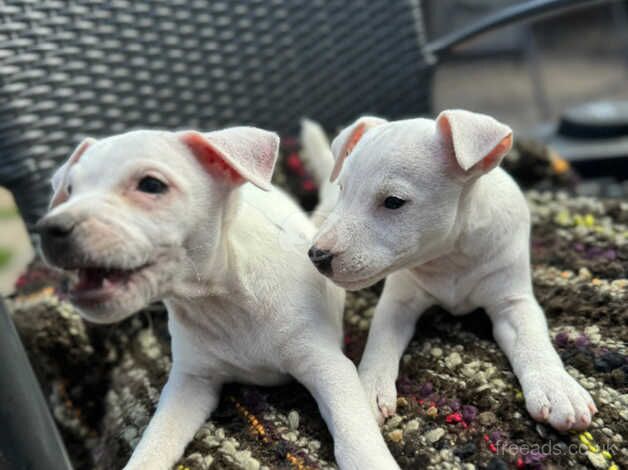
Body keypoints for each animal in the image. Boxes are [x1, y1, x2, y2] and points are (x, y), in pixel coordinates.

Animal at [36, 127, 398, 470]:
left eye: (151, 185)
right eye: (69, 190)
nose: (49, 230)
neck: (220, 300)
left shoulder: (327, 366)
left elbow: (355, 434)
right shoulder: (190, 382)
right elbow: (155, 442)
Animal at [306, 111, 596, 434]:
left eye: (393, 201)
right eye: (344, 190)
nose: (318, 255)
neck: (451, 258)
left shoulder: (513, 299)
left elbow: (532, 338)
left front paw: (557, 387)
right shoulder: (397, 303)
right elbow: (381, 342)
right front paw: (369, 390)